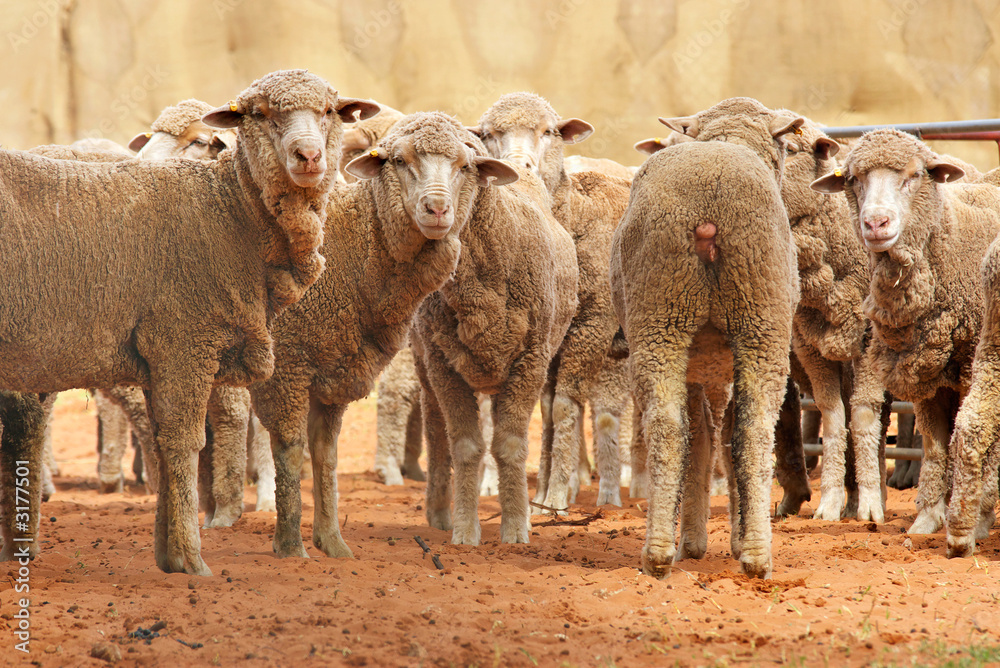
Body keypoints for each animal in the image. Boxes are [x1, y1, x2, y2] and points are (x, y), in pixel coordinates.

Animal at [0, 69, 379, 575]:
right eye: (259, 114)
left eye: (329, 112)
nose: (309, 156)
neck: (228, 212)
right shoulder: (184, 342)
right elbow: (184, 442)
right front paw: (191, 558)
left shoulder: (160, 355)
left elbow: (164, 442)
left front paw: (168, 555)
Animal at [248, 112, 523, 558]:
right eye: (399, 161)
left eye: (465, 166)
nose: (437, 208)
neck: (349, 249)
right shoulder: (287, 365)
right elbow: (290, 451)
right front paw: (290, 546)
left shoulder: (333, 371)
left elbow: (326, 454)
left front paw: (332, 542)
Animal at [473, 92, 631, 514]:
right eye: (489, 135)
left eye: (549, 131)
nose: (519, 165)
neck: (574, 217)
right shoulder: (548, 338)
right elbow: (544, 411)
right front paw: (541, 496)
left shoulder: (592, 324)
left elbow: (563, 406)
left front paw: (558, 494)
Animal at [610, 97, 802, 579]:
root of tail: (709, 211)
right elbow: (715, 440)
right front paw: (716, 539)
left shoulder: (702, 366)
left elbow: (700, 439)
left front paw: (698, 541)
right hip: (757, 319)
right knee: (753, 430)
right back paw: (753, 553)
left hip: (665, 312)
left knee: (667, 426)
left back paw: (660, 552)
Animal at [811, 128, 1000, 536]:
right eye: (854, 179)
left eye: (913, 176)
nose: (875, 223)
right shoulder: (926, 369)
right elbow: (934, 443)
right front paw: (929, 517)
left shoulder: (971, 366)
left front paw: (971, 515)